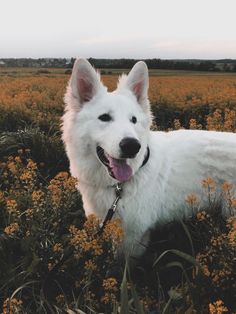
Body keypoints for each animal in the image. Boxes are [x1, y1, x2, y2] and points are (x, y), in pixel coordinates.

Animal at [61, 57, 236, 256]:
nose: (132, 146)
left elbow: (123, 262)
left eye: (134, 120)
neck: (119, 186)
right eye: (104, 117)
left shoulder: (133, 236)